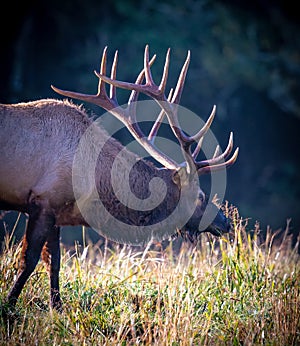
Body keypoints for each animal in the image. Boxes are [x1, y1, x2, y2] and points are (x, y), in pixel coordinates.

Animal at [0, 44, 239, 312]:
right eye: (200, 196)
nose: (226, 222)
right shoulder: (43, 201)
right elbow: (28, 261)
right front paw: (9, 305)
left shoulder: (55, 212)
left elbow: (54, 263)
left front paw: (57, 307)